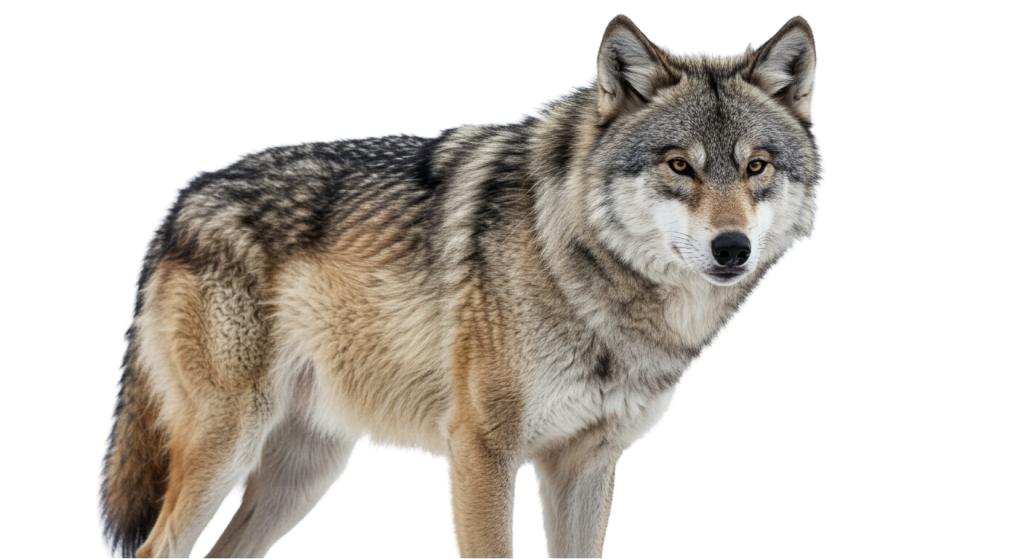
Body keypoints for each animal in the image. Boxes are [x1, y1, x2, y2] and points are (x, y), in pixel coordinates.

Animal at [97, 13, 824, 558]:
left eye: (757, 167)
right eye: (679, 166)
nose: (731, 248)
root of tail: (181, 198)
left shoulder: (587, 465)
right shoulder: (481, 451)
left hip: (307, 473)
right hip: (228, 445)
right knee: (159, 548)